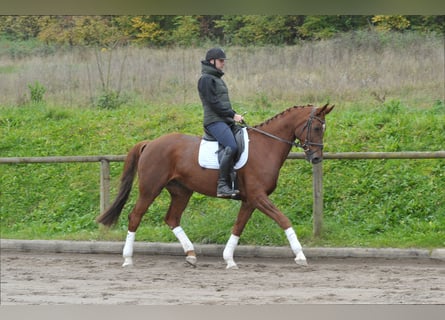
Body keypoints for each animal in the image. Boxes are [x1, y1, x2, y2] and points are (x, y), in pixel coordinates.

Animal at [97, 104, 332, 268]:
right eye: (317, 127)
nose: (316, 158)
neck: (266, 146)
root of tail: (150, 143)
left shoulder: (250, 200)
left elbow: (238, 226)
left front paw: (229, 259)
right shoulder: (258, 196)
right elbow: (283, 219)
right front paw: (300, 255)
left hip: (181, 191)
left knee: (172, 219)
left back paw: (191, 255)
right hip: (150, 188)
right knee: (135, 216)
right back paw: (128, 259)